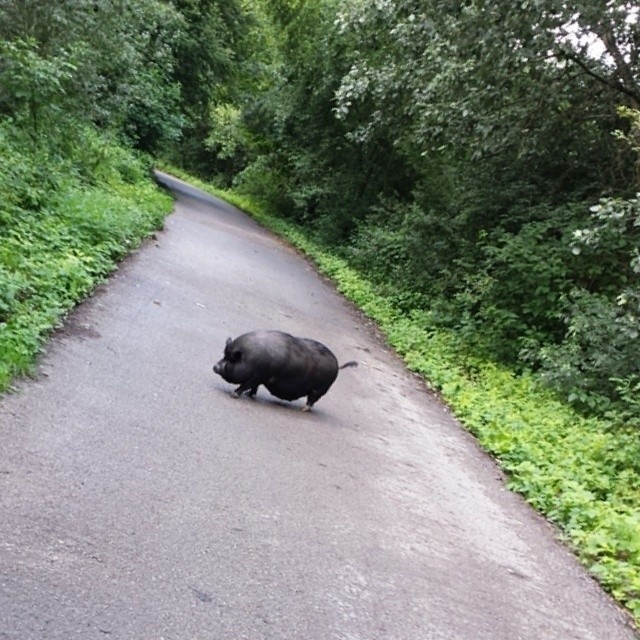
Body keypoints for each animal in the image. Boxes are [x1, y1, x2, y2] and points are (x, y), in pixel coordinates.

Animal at [214, 330, 356, 410]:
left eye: (232, 359)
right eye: (224, 355)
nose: (215, 367)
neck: (250, 359)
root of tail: (337, 365)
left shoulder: (258, 376)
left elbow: (245, 385)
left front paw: (234, 395)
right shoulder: (259, 378)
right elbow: (254, 387)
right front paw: (250, 395)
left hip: (320, 389)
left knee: (312, 399)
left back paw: (304, 409)